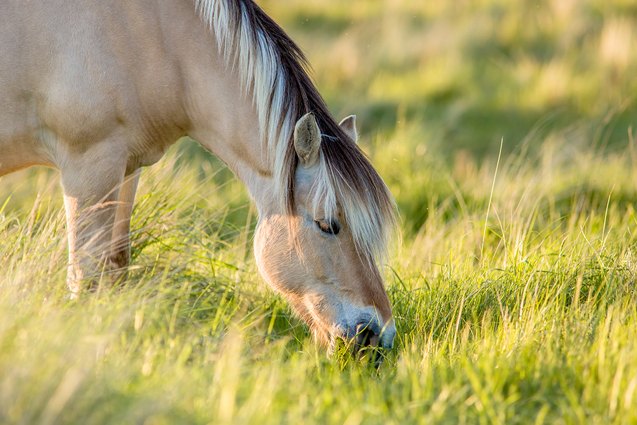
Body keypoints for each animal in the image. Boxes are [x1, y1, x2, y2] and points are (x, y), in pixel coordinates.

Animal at [0, 0, 398, 352]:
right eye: (328, 225)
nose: (377, 335)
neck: (151, 38)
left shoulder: (125, 169)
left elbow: (117, 266)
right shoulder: (88, 166)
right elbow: (87, 279)